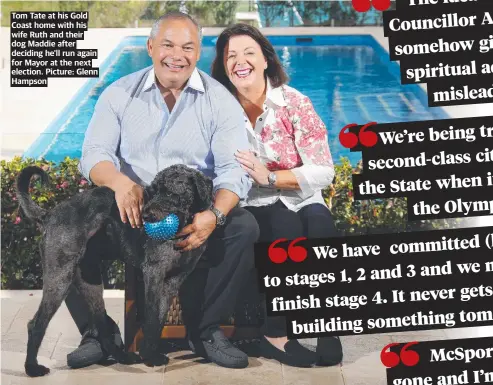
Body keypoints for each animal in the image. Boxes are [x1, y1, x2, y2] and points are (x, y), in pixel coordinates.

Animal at [16, 164, 212, 376]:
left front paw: (149, 352)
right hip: (59, 278)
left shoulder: (173, 281)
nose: (145, 216)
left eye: (169, 192)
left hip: (91, 283)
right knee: (35, 324)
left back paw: (123, 357)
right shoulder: (153, 273)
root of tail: (49, 215)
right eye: (153, 191)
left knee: (102, 328)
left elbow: (159, 319)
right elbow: (152, 318)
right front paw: (150, 357)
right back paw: (32, 368)